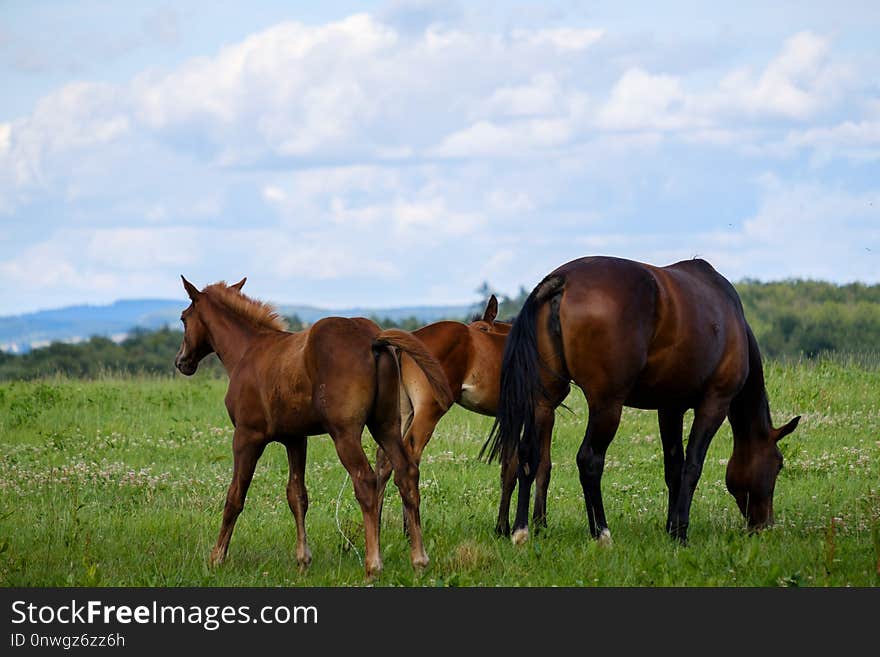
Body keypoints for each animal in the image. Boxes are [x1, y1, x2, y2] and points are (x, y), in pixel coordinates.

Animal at [177, 272, 454, 576]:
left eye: (183, 318)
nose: (181, 361)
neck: (248, 351)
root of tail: (373, 338)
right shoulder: (295, 438)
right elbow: (297, 495)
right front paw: (303, 559)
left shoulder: (247, 437)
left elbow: (235, 495)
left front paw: (217, 557)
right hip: (386, 426)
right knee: (406, 473)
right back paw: (419, 559)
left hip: (345, 434)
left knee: (365, 481)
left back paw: (373, 564)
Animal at [374, 294, 548, 536]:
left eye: (484, 329)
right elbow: (538, 466)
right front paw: (535, 525)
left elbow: (508, 468)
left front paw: (502, 527)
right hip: (428, 411)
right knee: (409, 457)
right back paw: (410, 530)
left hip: (403, 412)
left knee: (385, 457)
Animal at [484, 256, 800, 544]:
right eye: (778, 464)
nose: (764, 525)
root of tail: (563, 280)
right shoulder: (714, 405)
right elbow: (692, 466)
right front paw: (680, 531)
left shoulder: (670, 408)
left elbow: (674, 467)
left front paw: (671, 528)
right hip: (607, 405)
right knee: (589, 460)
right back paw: (601, 533)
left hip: (543, 402)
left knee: (528, 456)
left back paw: (521, 530)